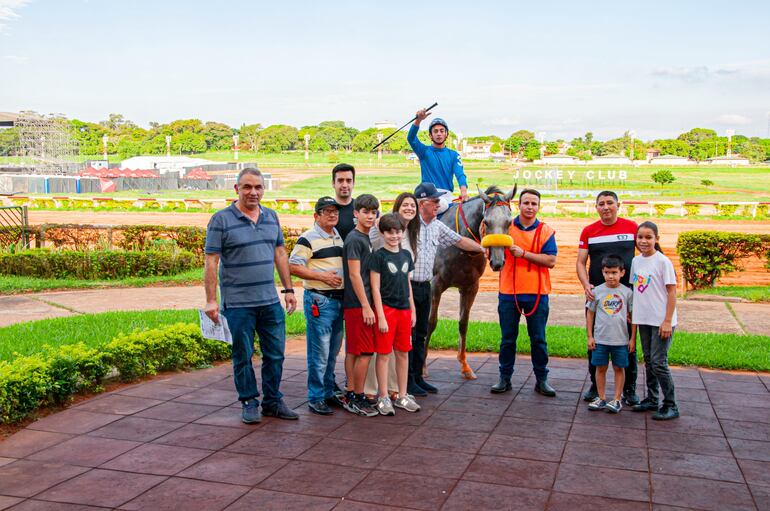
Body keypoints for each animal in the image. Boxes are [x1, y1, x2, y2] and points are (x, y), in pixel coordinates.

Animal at [426, 184, 516, 380]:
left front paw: (465, 366)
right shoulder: (435, 285)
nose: (498, 262)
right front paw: (421, 367)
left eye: (509, 222)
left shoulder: (470, 287)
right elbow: (431, 322)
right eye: (487, 222)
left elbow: (463, 323)